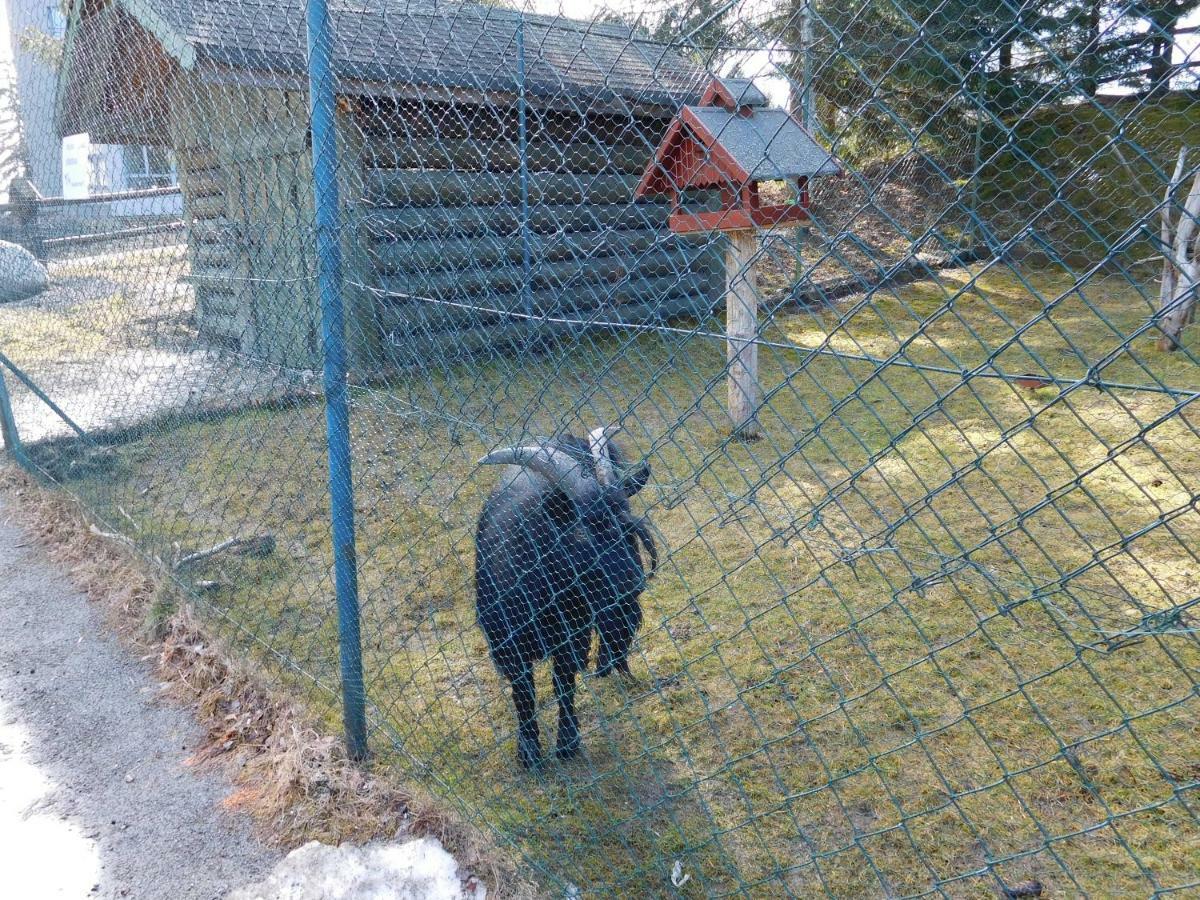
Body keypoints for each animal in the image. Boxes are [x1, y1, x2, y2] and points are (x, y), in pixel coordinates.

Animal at [472, 429, 657, 768]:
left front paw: (567, 742)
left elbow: (563, 681)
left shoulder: (574, 633)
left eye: (629, 528)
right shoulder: (508, 642)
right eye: (585, 532)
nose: (633, 585)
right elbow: (524, 692)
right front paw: (529, 752)